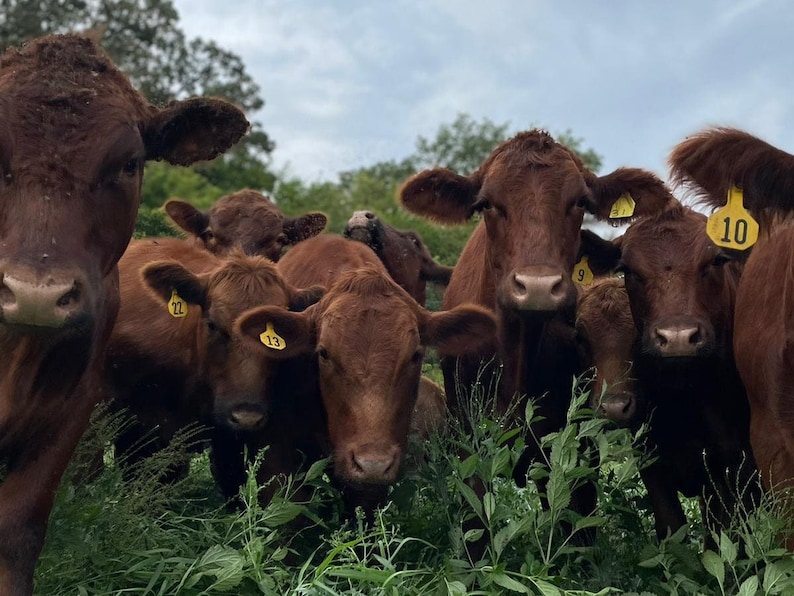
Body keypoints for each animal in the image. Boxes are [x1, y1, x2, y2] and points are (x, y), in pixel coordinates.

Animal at [581, 204, 760, 543]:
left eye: (715, 260)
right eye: (628, 269)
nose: (677, 337)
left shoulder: (732, 469)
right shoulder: (653, 463)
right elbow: (671, 531)